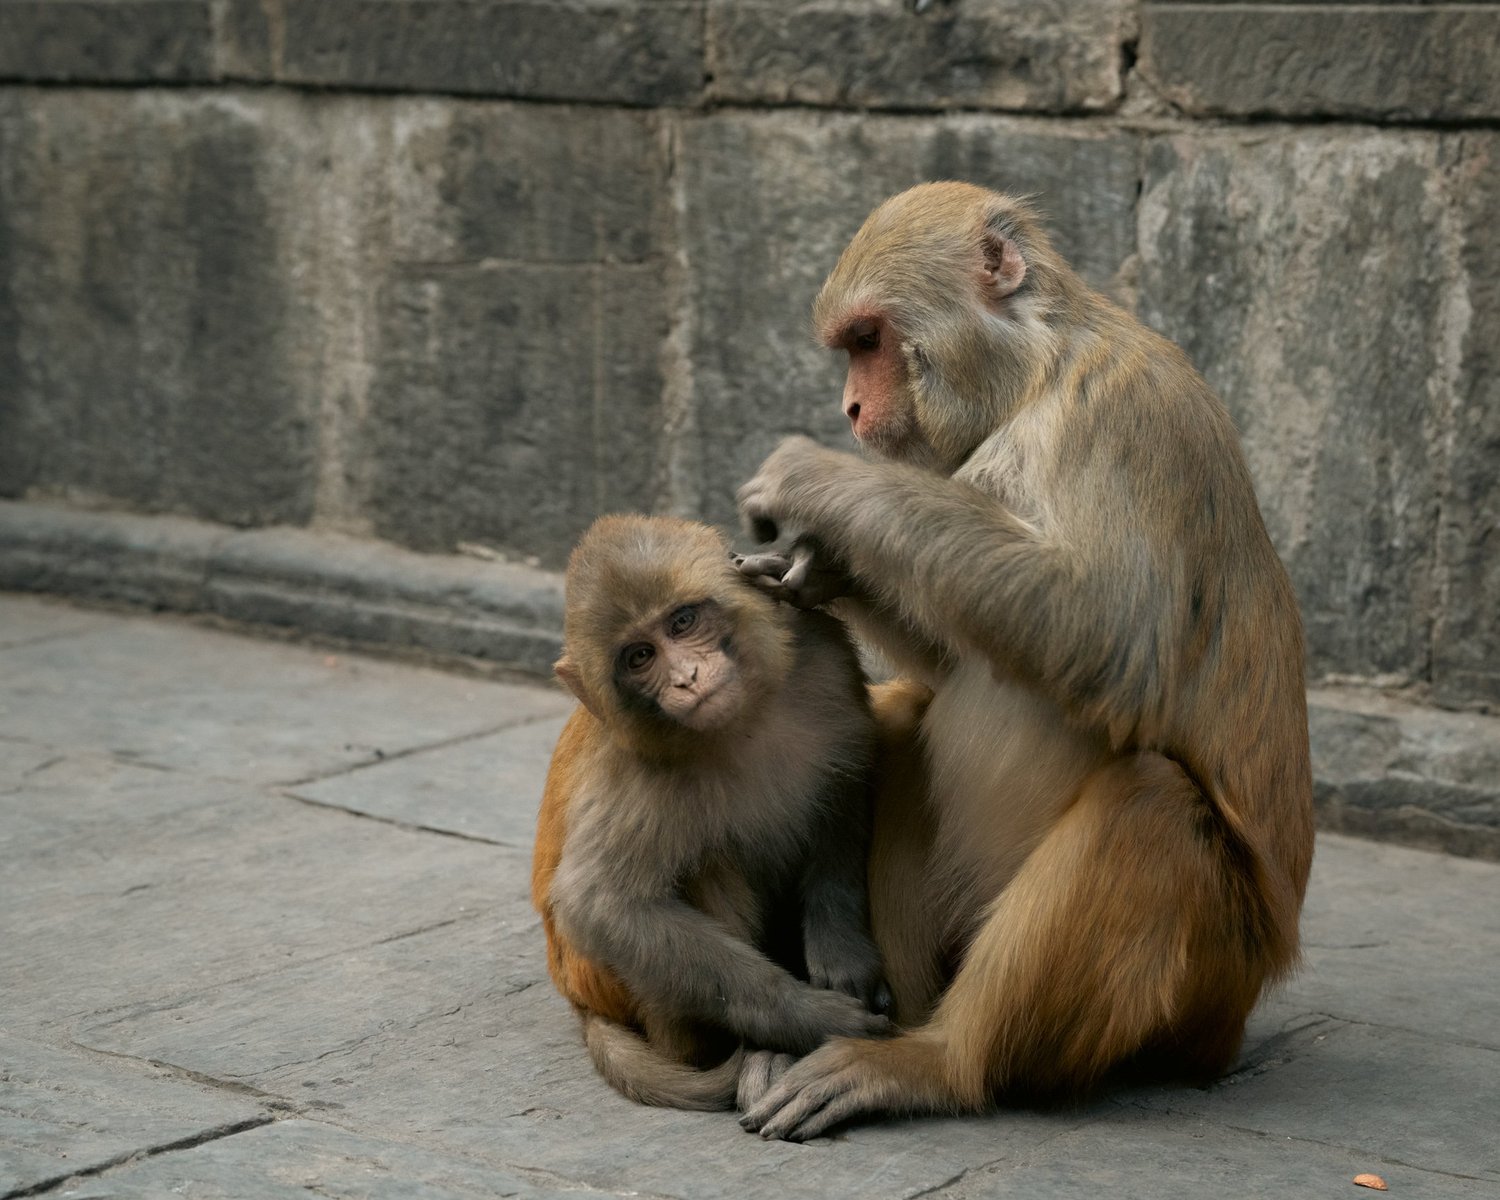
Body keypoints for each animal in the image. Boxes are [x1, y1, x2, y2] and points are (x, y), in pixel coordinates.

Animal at [530, 513, 889, 1112]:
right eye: (640, 656)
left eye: (682, 622)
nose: (688, 678)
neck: (744, 723)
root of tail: (579, 999)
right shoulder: (637, 772)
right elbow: (602, 906)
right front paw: (812, 1019)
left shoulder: (824, 657)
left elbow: (845, 788)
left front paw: (841, 953)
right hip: (620, 989)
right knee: (707, 863)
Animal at [732, 182, 1316, 1140]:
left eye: (869, 341)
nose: (850, 410)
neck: (1036, 376)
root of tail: (1234, 1024)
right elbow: (953, 656)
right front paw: (818, 566)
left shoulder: (1118, 417)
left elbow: (1108, 636)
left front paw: (818, 484)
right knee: (906, 713)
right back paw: (872, 1020)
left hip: (1204, 983)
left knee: (1150, 805)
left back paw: (939, 1062)